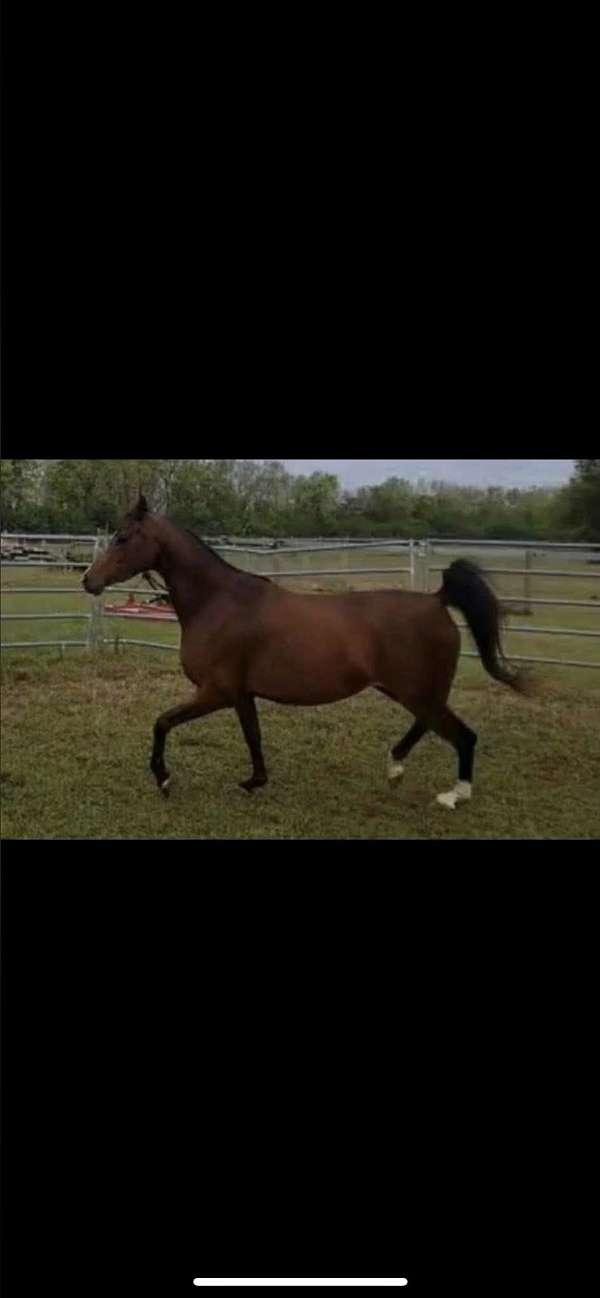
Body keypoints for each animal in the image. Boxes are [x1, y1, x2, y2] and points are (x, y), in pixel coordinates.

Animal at [82, 495, 530, 812]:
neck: (218, 603)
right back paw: (395, 768)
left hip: (417, 691)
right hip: (409, 690)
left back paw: (453, 795)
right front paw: (254, 782)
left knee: (461, 734)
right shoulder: (241, 694)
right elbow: (253, 736)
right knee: (429, 726)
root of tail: (438, 601)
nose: (89, 580)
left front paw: (163, 779)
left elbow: (162, 722)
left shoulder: (216, 691)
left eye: (124, 538)